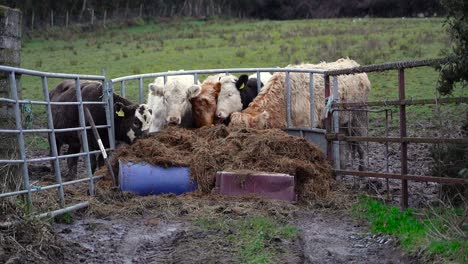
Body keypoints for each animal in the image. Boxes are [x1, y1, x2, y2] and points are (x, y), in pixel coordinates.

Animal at [229, 58, 372, 170]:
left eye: (245, 133)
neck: (283, 99)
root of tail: (351, 62)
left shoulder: (305, 125)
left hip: (359, 118)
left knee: (362, 146)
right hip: (342, 123)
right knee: (344, 149)